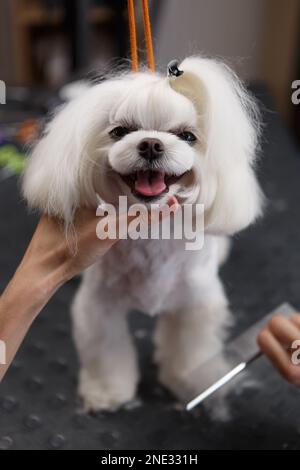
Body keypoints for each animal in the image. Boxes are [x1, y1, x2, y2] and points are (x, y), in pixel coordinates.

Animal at [22, 56, 262, 412]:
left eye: (187, 136)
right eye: (120, 131)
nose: (150, 144)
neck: (152, 231)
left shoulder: (195, 303)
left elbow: (192, 349)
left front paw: (192, 382)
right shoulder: (100, 305)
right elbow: (107, 351)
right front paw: (107, 391)